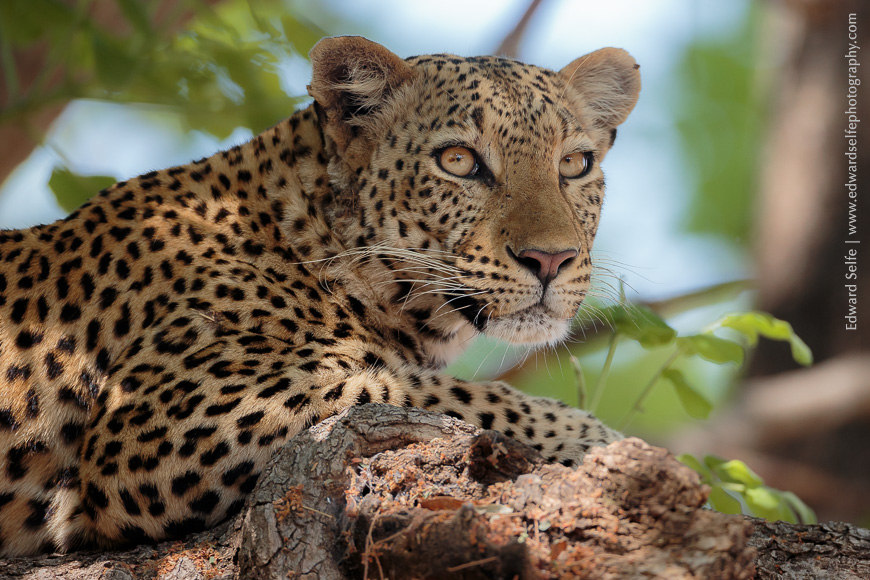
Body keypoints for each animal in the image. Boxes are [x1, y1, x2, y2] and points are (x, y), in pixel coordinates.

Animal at [0, 36, 641, 557]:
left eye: (574, 164)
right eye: (458, 161)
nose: (551, 260)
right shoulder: (164, 422)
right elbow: (423, 390)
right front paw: (594, 438)